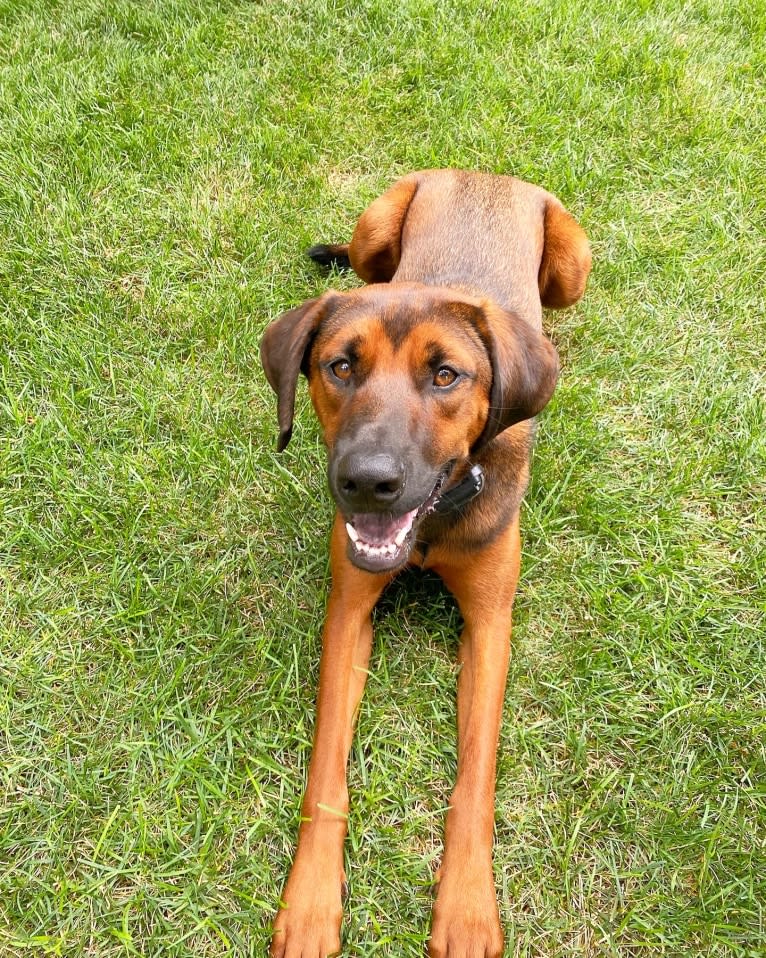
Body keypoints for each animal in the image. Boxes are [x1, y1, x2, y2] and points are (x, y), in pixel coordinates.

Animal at [260, 172, 592, 958]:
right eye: (339, 366)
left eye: (446, 375)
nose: (367, 481)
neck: (434, 521)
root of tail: (487, 172)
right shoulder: (349, 611)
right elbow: (327, 768)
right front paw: (310, 903)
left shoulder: (492, 624)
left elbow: (475, 776)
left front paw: (467, 905)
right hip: (377, 223)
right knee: (367, 267)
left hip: (574, 263)